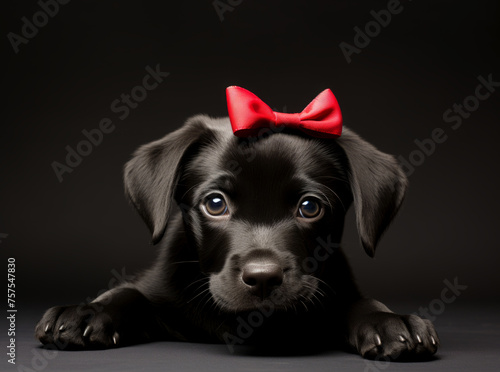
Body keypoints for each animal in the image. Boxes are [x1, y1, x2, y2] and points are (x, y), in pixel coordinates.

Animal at [35, 114, 440, 360]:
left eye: (310, 207)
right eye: (215, 203)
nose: (262, 279)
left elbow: (359, 303)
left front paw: (390, 321)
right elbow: (128, 293)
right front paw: (86, 312)